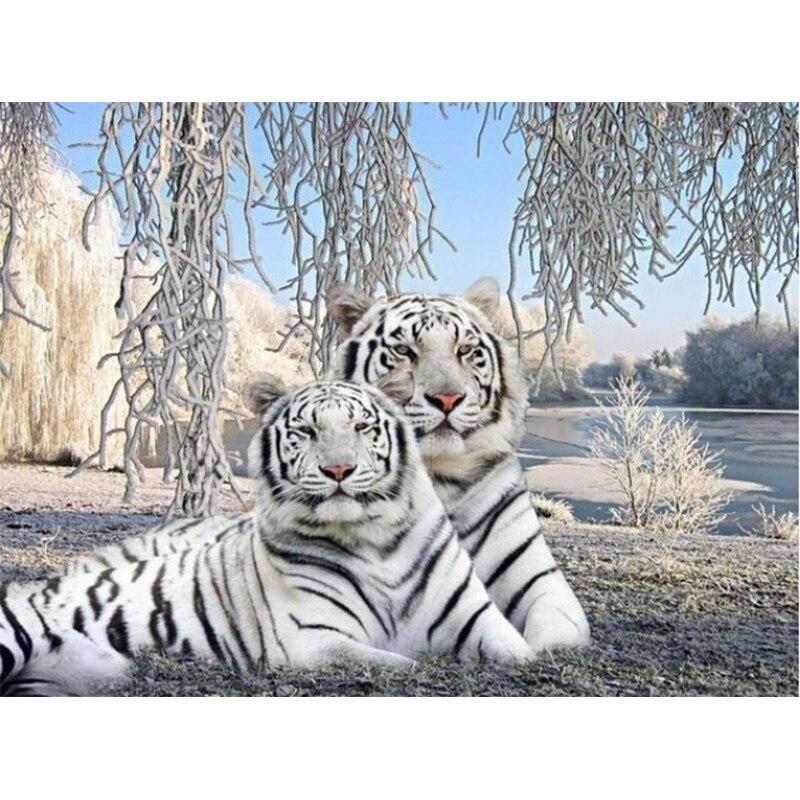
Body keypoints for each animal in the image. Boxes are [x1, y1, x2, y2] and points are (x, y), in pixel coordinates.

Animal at [0, 379, 532, 696]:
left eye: (361, 427)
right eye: (307, 431)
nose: (338, 470)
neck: (375, 541)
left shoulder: (477, 619)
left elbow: (520, 652)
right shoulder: (312, 641)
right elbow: (405, 662)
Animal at [327, 277, 591, 653]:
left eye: (464, 351)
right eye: (404, 351)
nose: (447, 398)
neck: (440, 474)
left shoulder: (538, 577)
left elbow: (554, 629)